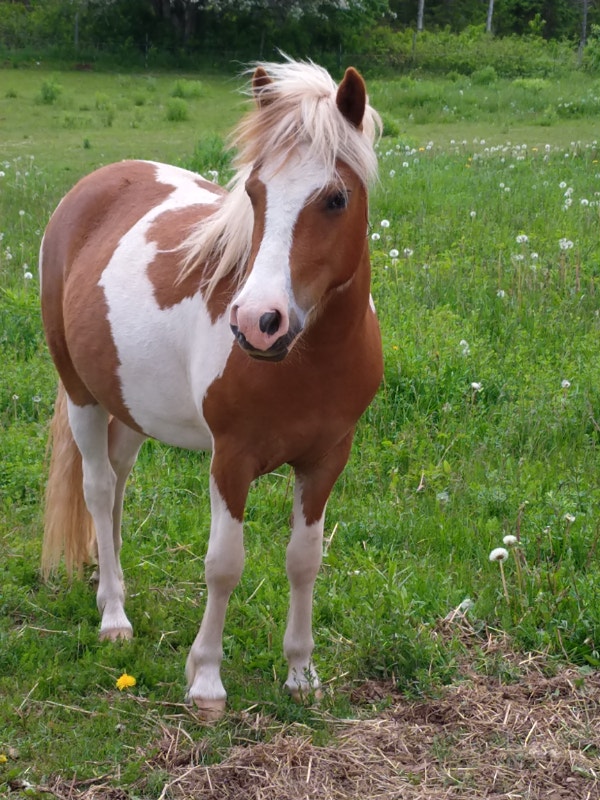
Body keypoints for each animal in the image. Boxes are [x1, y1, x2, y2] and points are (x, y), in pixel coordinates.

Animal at [40, 59, 383, 718]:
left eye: (335, 198)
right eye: (254, 193)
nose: (257, 321)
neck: (308, 361)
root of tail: (92, 186)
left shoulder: (327, 458)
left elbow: (305, 561)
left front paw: (301, 672)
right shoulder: (232, 459)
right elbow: (224, 565)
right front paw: (205, 680)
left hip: (131, 408)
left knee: (118, 485)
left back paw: (109, 588)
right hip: (83, 395)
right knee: (98, 488)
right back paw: (114, 616)